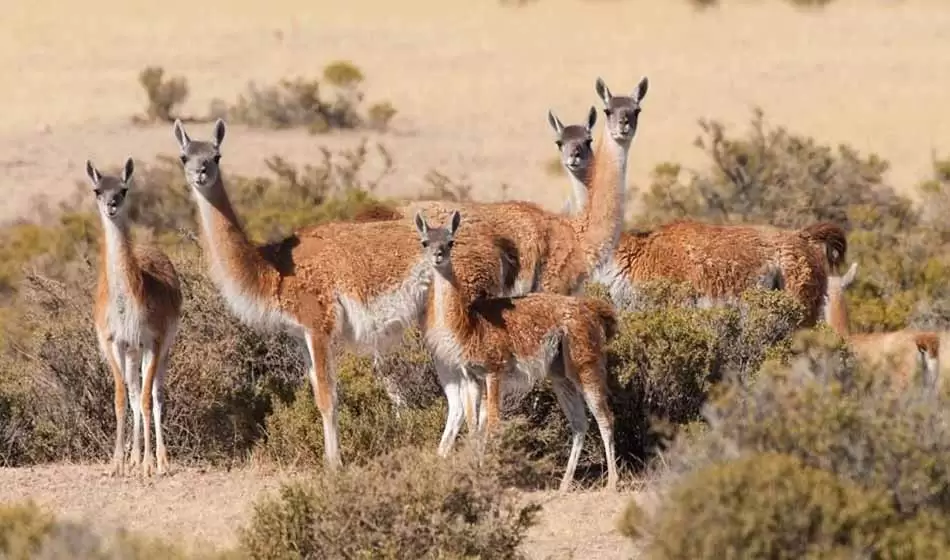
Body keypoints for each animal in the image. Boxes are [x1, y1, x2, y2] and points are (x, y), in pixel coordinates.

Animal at [87, 158, 182, 476]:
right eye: (97, 190)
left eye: (123, 189)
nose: (112, 205)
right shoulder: (112, 342)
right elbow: (121, 398)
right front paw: (117, 462)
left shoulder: (154, 340)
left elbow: (146, 399)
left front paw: (151, 464)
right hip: (131, 350)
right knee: (133, 391)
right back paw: (134, 458)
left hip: (162, 349)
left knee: (155, 394)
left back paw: (159, 460)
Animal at [414, 209, 616, 490]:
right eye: (425, 242)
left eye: (450, 241)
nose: (438, 255)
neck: (471, 325)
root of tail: (592, 309)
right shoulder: (472, 377)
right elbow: (474, 427)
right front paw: (475, 473)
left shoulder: (494, 370)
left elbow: (493, 423)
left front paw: (493, 476)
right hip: (560, 373)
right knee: (579, 423)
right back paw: (565, 484)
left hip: (585, 362)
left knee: (605, 418)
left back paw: (613, 482)